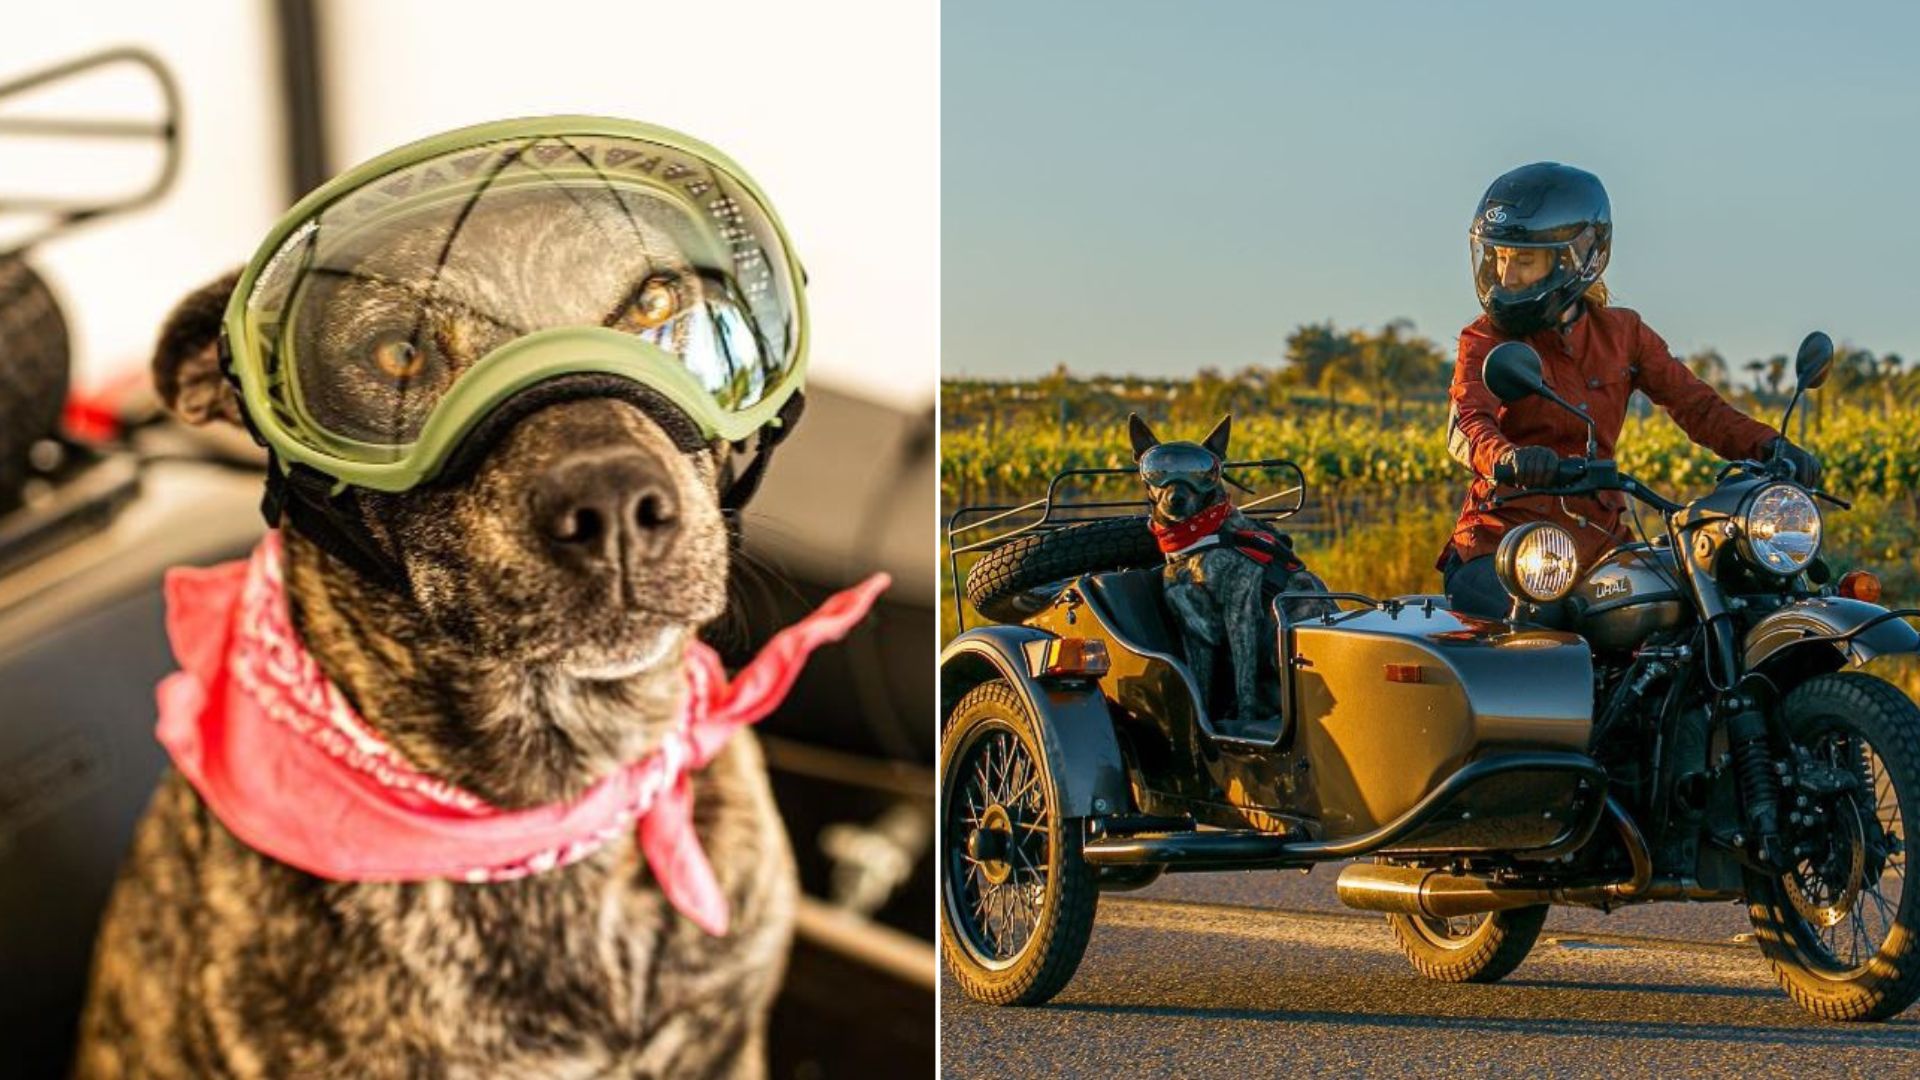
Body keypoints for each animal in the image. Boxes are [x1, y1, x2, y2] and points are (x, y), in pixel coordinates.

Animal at [1121, 413, 1336, 737]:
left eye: (1205, 474)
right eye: (1158, 472)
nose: (1176, 499)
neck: (1198, 539)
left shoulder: (1239, 616)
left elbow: (1243, 682)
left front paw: (1244, 721)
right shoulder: (1193, 635)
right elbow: (1199, 689)